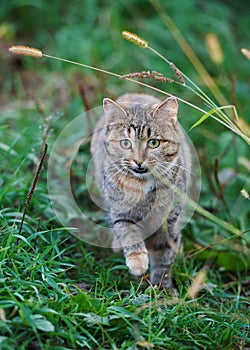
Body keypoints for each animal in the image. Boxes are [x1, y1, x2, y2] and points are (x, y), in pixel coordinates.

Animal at [91, 93, 190, 290]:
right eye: (125, 143)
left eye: (153, 143)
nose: (138, 161)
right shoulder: (120, 211)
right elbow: (128, 233)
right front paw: (138, 262)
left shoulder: (169, 221)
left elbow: (164, 256)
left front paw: (162, 288)